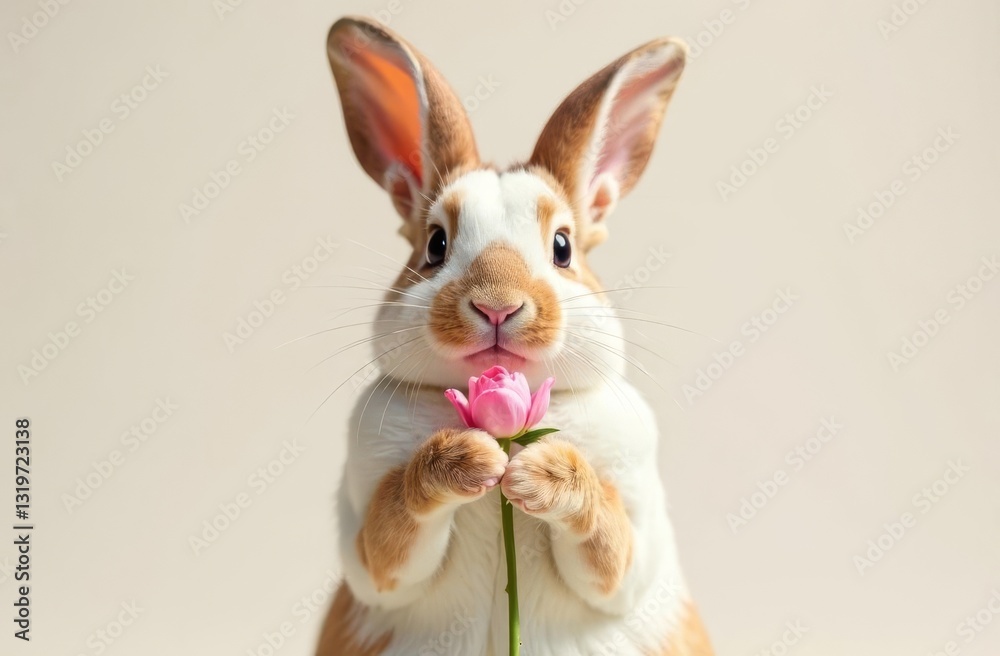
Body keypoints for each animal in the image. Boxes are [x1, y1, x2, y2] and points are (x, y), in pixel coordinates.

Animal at [316, 16, 713, 656]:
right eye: (435, 245)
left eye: (563, 247)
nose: (497, 305)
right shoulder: (370, 544)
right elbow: (393, 530)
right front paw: (468, 458)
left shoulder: (632, 542)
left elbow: (609, 545)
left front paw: (540, 472)